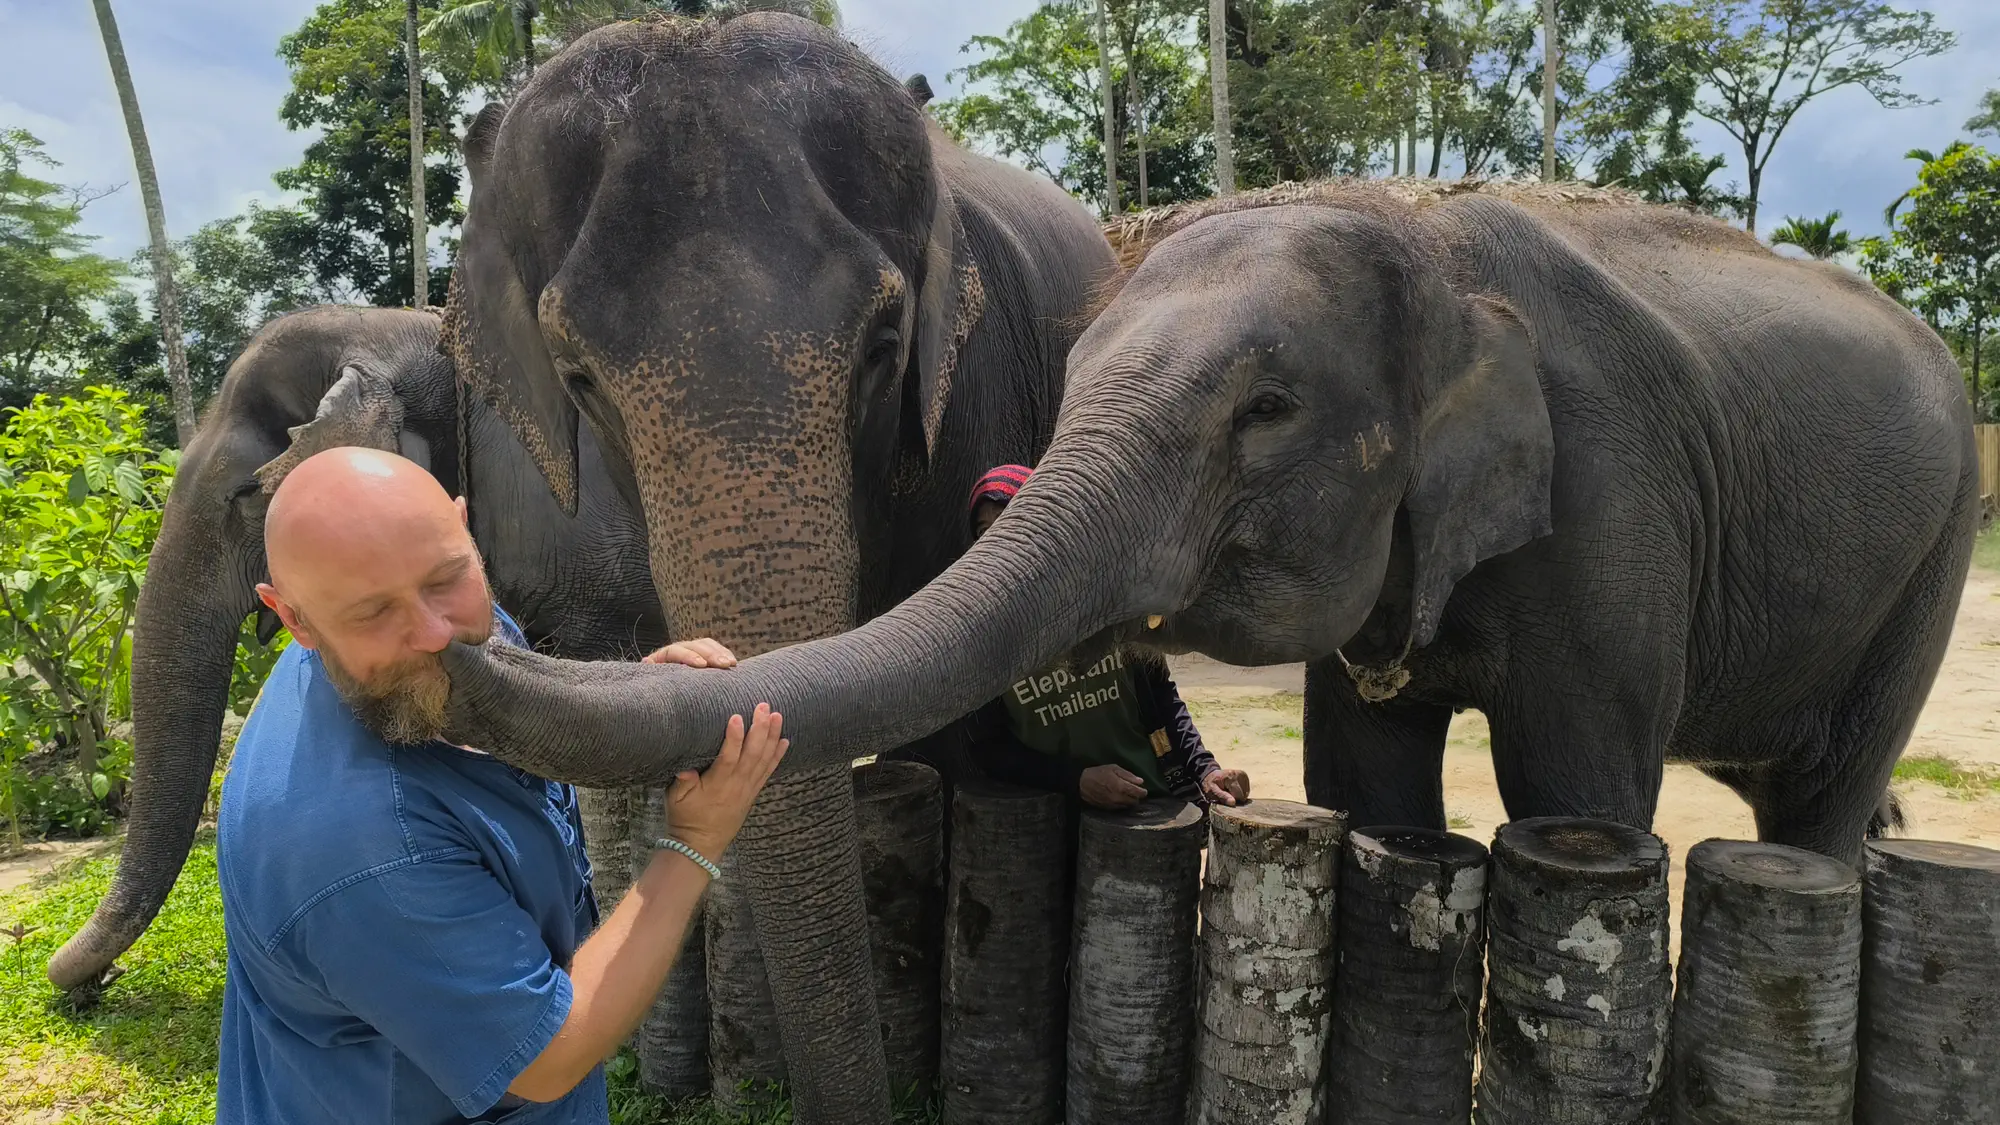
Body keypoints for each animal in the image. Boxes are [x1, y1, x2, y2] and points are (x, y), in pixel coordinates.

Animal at [438, 180, 1979, 895]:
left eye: (1268, 409)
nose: (451, 632)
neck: (1423, 246)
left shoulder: (1611, 503)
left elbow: (1576, 790)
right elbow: (1367, 780)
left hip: (1944, 535)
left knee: (1824, 796)